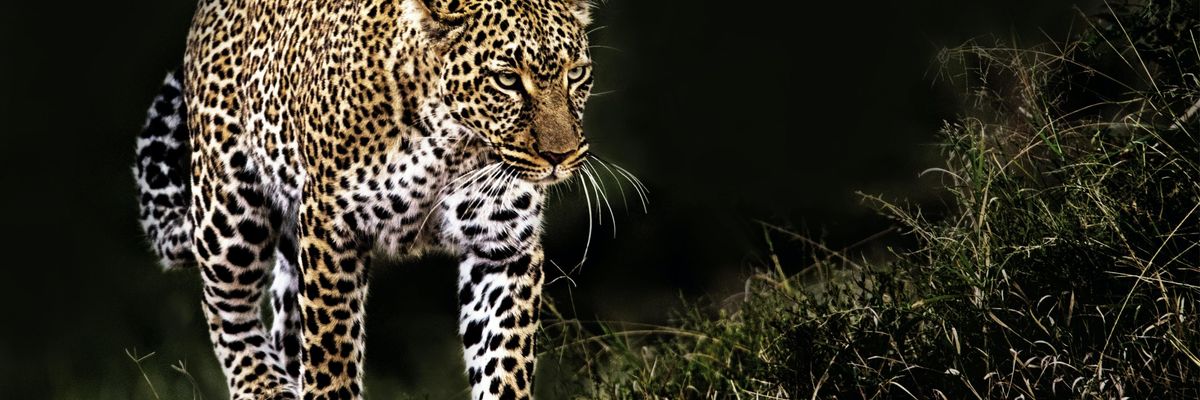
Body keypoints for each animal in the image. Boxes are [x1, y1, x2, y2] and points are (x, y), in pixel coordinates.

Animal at [131, 0, 622, 398]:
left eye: (576, 73)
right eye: (506, 80)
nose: (561, 156)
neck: (451, 144)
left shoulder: (502, 245)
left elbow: (503, 359)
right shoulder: (331, 228)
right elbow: (331, 352)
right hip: (228, 205)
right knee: (227, 307)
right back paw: (265, 386)